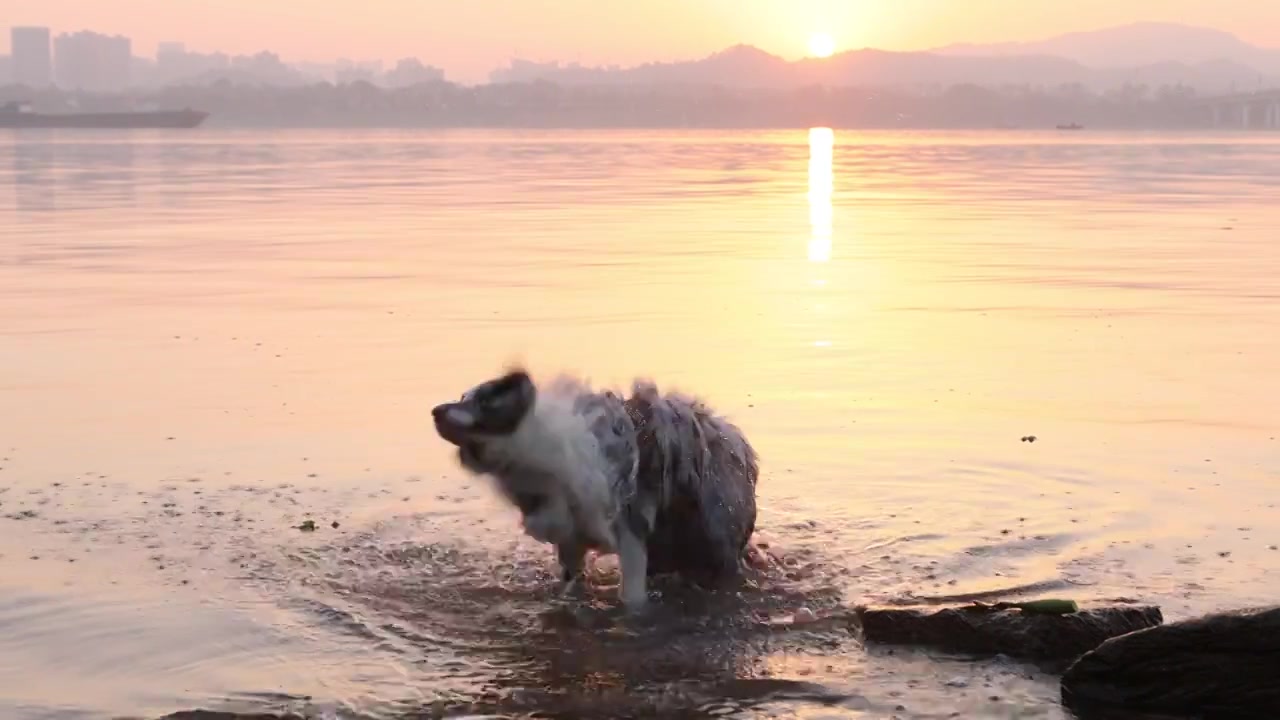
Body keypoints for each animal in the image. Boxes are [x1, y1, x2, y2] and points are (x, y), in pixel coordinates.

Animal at [432, 363, 757, 604]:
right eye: (462, 397)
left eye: (483, 402)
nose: (435, 411)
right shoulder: (571, 537)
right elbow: (571, 580)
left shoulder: (630, 532)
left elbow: (631, 597)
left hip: (713, 535)